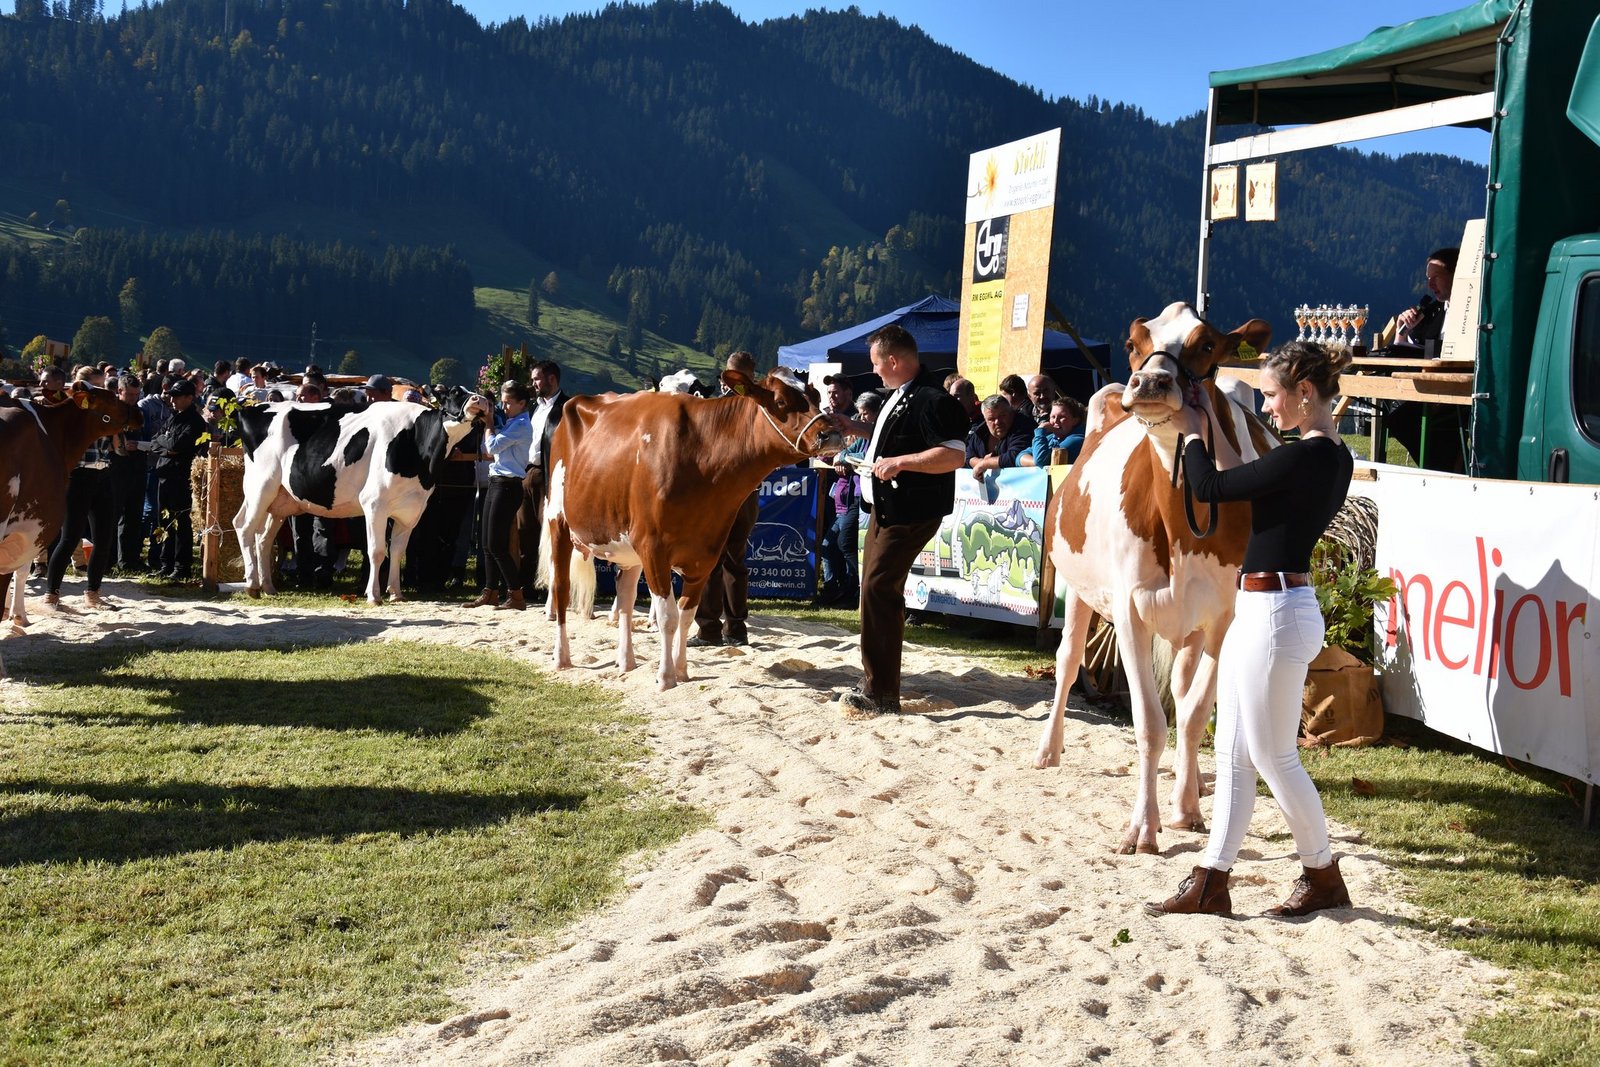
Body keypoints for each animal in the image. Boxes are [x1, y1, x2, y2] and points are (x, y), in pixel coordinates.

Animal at [1, 386, 144, 676]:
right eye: (114, 397)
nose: (140, 413)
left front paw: (15, 615)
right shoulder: (28, 530)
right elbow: (22, 570)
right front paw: (19, 616)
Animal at [232, 385, 490, 604]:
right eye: (456, 391)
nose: (482, 400)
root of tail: (251, 408)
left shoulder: (411, 510)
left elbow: (397, 552)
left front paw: (396, 593)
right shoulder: (375, 504)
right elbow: (376, 551)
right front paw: (373, 596)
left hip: (279, 500)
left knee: (263, 537)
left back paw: (268, 587)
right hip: (260, 486)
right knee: (244, 527)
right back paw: (252, 585)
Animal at [542, 368, 844, 690]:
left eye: (815, 395)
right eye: (781, 400)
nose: (831, 432)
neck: (703, 458)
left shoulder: (705, 554)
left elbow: (686, 615)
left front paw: (682, 670)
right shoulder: (653, 548)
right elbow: (668, 617)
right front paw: (665, 678)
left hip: (626, 547)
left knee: (625, 599)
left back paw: (626, 661)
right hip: (559, 522)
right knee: (561, 588)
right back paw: (562, 657)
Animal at [1035, 302, 1276, 855]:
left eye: (1206, 344)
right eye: (1132, 344)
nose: (1148, 382)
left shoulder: (1225, 618)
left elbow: (1193, 713)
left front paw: (1185, 810)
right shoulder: (1129, 611)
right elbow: (1149, 722)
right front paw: (1142, 828)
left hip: (1189, 623)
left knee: (1184, 690)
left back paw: (1192, 790)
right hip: (1078, 589)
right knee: (1068, 660)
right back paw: (1049, 749)